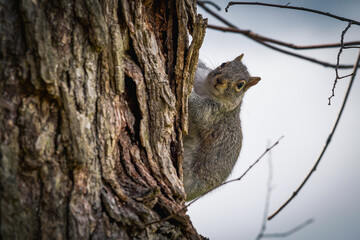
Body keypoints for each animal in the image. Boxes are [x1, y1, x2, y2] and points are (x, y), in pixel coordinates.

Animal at [184, 54, 260, 201]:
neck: (206, 89)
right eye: (224, 63)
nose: (220, 80)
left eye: (240, 85)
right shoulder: (200, 73)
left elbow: (200, 111)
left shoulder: (215, 113)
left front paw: (188, 91)